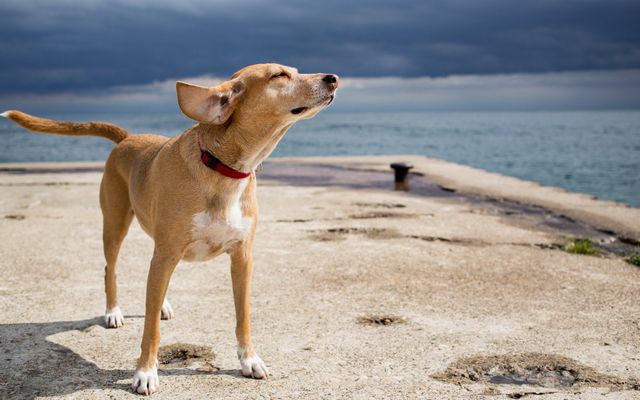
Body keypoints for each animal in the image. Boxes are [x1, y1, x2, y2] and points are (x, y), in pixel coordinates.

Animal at [1, 64, 340, 396]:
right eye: (279, 75)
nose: (333, 78)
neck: (222, 169)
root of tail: (127, 137)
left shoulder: (242, 258)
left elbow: (242, 317)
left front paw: (250, 360)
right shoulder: (166, 254)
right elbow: (150, 329)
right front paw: (145, 373)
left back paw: (160, 302)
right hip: (115, 226)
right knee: (111, 268)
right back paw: (113, 312)